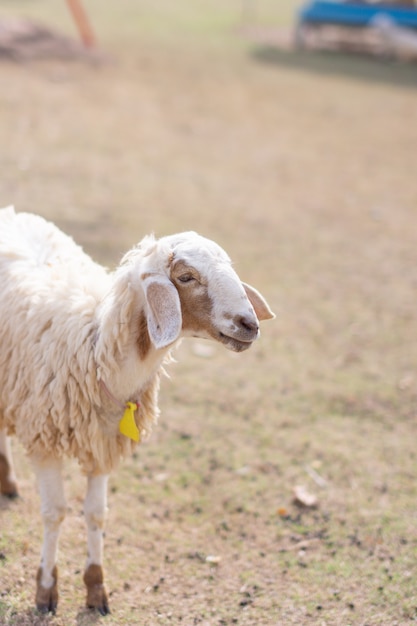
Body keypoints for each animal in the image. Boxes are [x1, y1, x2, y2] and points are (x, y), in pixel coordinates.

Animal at [0, 206, 272, 616]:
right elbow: (55, 512)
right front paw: (46, 589)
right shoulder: (44, 438)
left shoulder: (103, 441)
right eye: (186, 276)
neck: (95, 352)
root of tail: (11, 213)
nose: (250, 324)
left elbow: (96, 514)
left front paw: (97, 589)